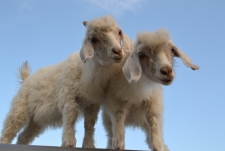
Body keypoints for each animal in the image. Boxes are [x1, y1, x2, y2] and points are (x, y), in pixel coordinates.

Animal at [0, 15, 132, 147]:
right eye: (94, 39)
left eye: (119, 32)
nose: (118, 52)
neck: (85, 69)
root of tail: (27, 79)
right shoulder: (67, 94)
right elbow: (70, 116)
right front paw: (69, 142)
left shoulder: (92, 103)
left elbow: (89, 124)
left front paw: (88, 145)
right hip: (20, 107)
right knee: (9, 129)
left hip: (36, 120)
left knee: (23, 136)